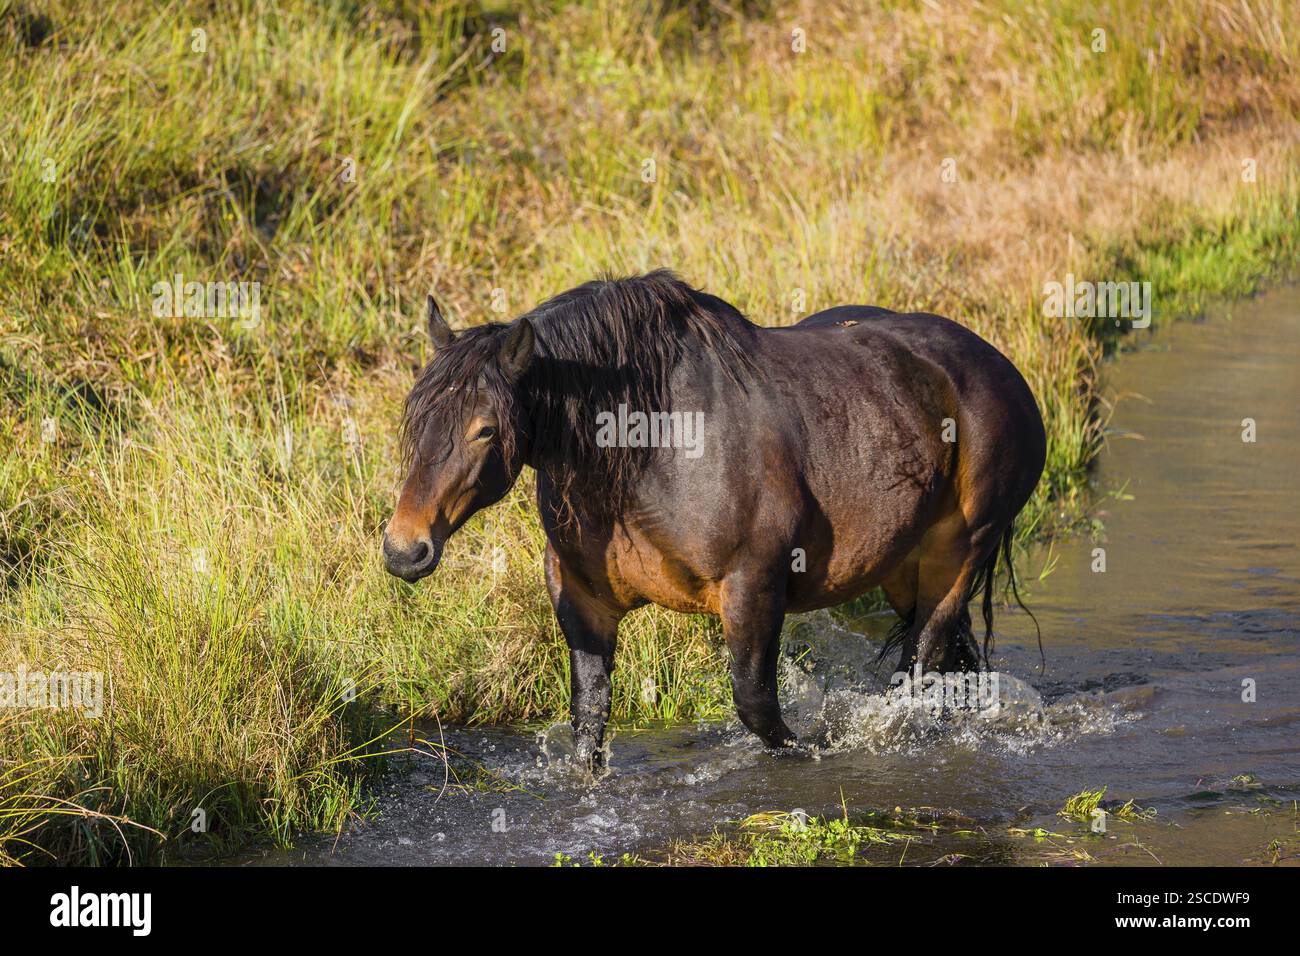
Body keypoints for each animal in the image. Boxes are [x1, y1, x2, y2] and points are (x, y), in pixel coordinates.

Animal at [383, 270, 1046, 766]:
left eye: (485, 428)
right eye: (414, 416)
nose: (404, 550)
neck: (650, 448)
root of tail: (1002, 371)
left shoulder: (753, 586)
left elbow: (761, 711)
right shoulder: (584, 601)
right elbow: (588, 720)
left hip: (958, 554)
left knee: (921, 665)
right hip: (902, 566)